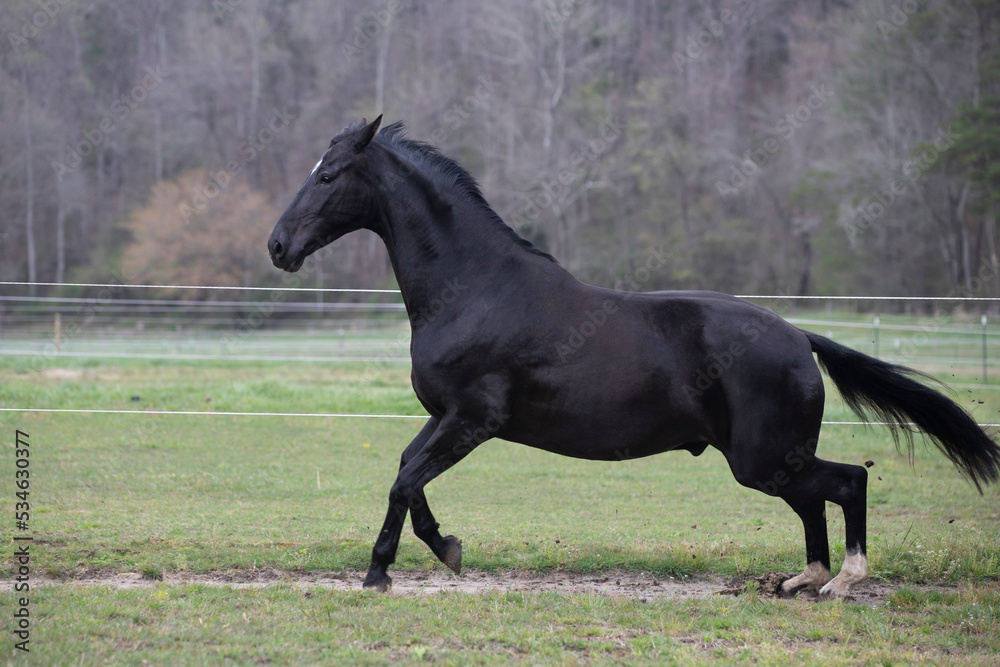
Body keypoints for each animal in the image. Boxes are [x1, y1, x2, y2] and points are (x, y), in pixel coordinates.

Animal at [268, 117, 1000, 596]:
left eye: (329, 175)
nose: (278, 246)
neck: (474, 289)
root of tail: (798, 336)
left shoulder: (473, 419)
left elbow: (405, 478)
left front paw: (380, 572)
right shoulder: (446, 415)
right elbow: (406, 472)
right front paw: (443, 548)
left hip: (762, 457)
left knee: (847, 483)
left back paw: (841, 581)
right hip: (772, 459)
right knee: (815, 502)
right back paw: (801, 579)